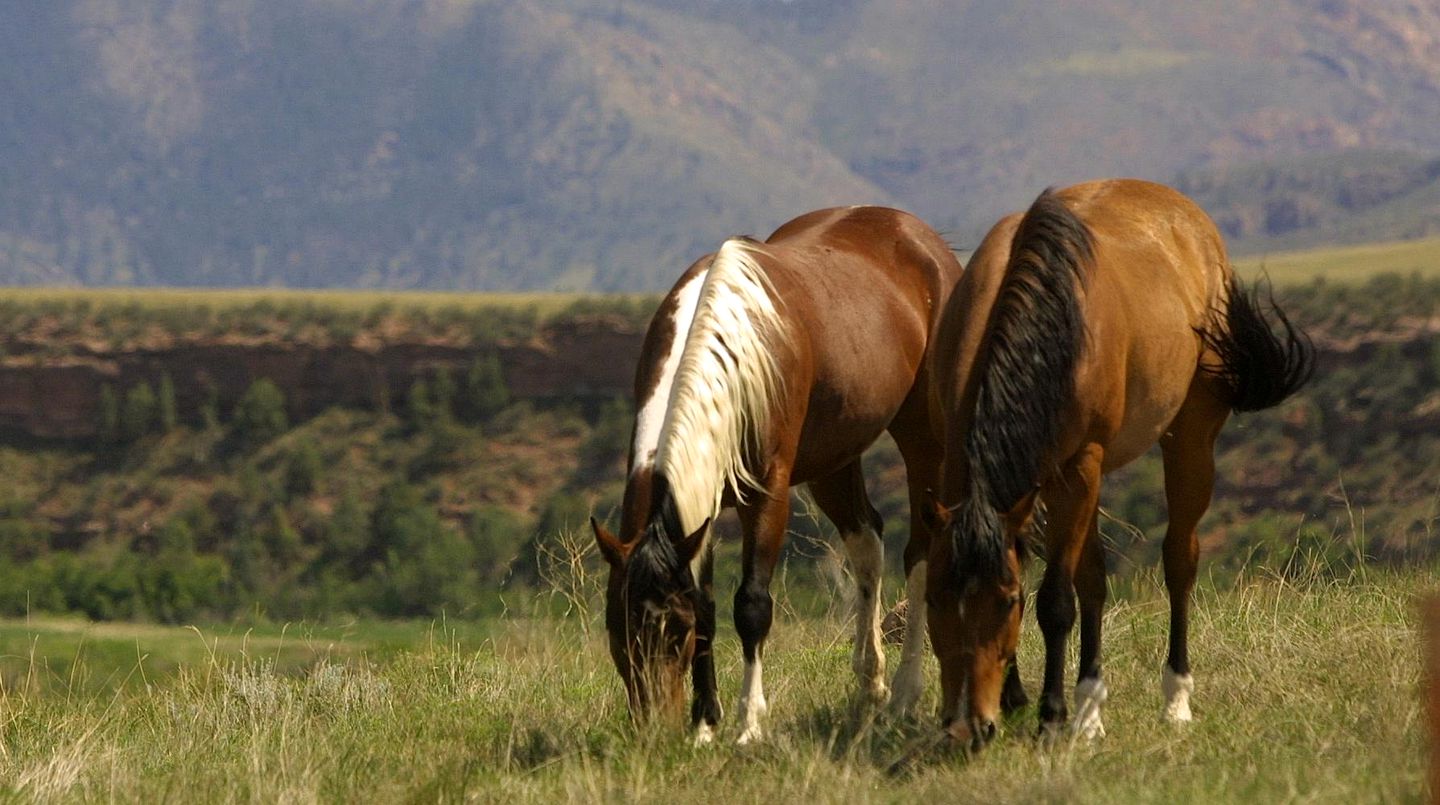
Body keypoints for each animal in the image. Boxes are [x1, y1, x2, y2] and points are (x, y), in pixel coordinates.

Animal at [584, 205, 967, 743]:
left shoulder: (767, 496)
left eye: (675, 634)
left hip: (923, 439)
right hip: (834, 458)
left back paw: (905, 693)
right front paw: (705, 726)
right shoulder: (702, 508)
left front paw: (748, 725)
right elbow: (708, 606)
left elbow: (751, 606)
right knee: (867, 544)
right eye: (618, 630)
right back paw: (870, 684)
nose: (656, 730)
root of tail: (919, 235)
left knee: (920, 550)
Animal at [921, 179, 1319, 754]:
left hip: (1188, 440)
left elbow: (1056, 601)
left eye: (1008, 601)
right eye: (933, 599)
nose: (965, 726)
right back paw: (1091, 710)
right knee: (1095, 577)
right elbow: (1059, 573)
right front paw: (1026, 700)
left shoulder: (1076, 467)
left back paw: (1174, 699)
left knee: (1179, 560)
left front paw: (1052, 717)